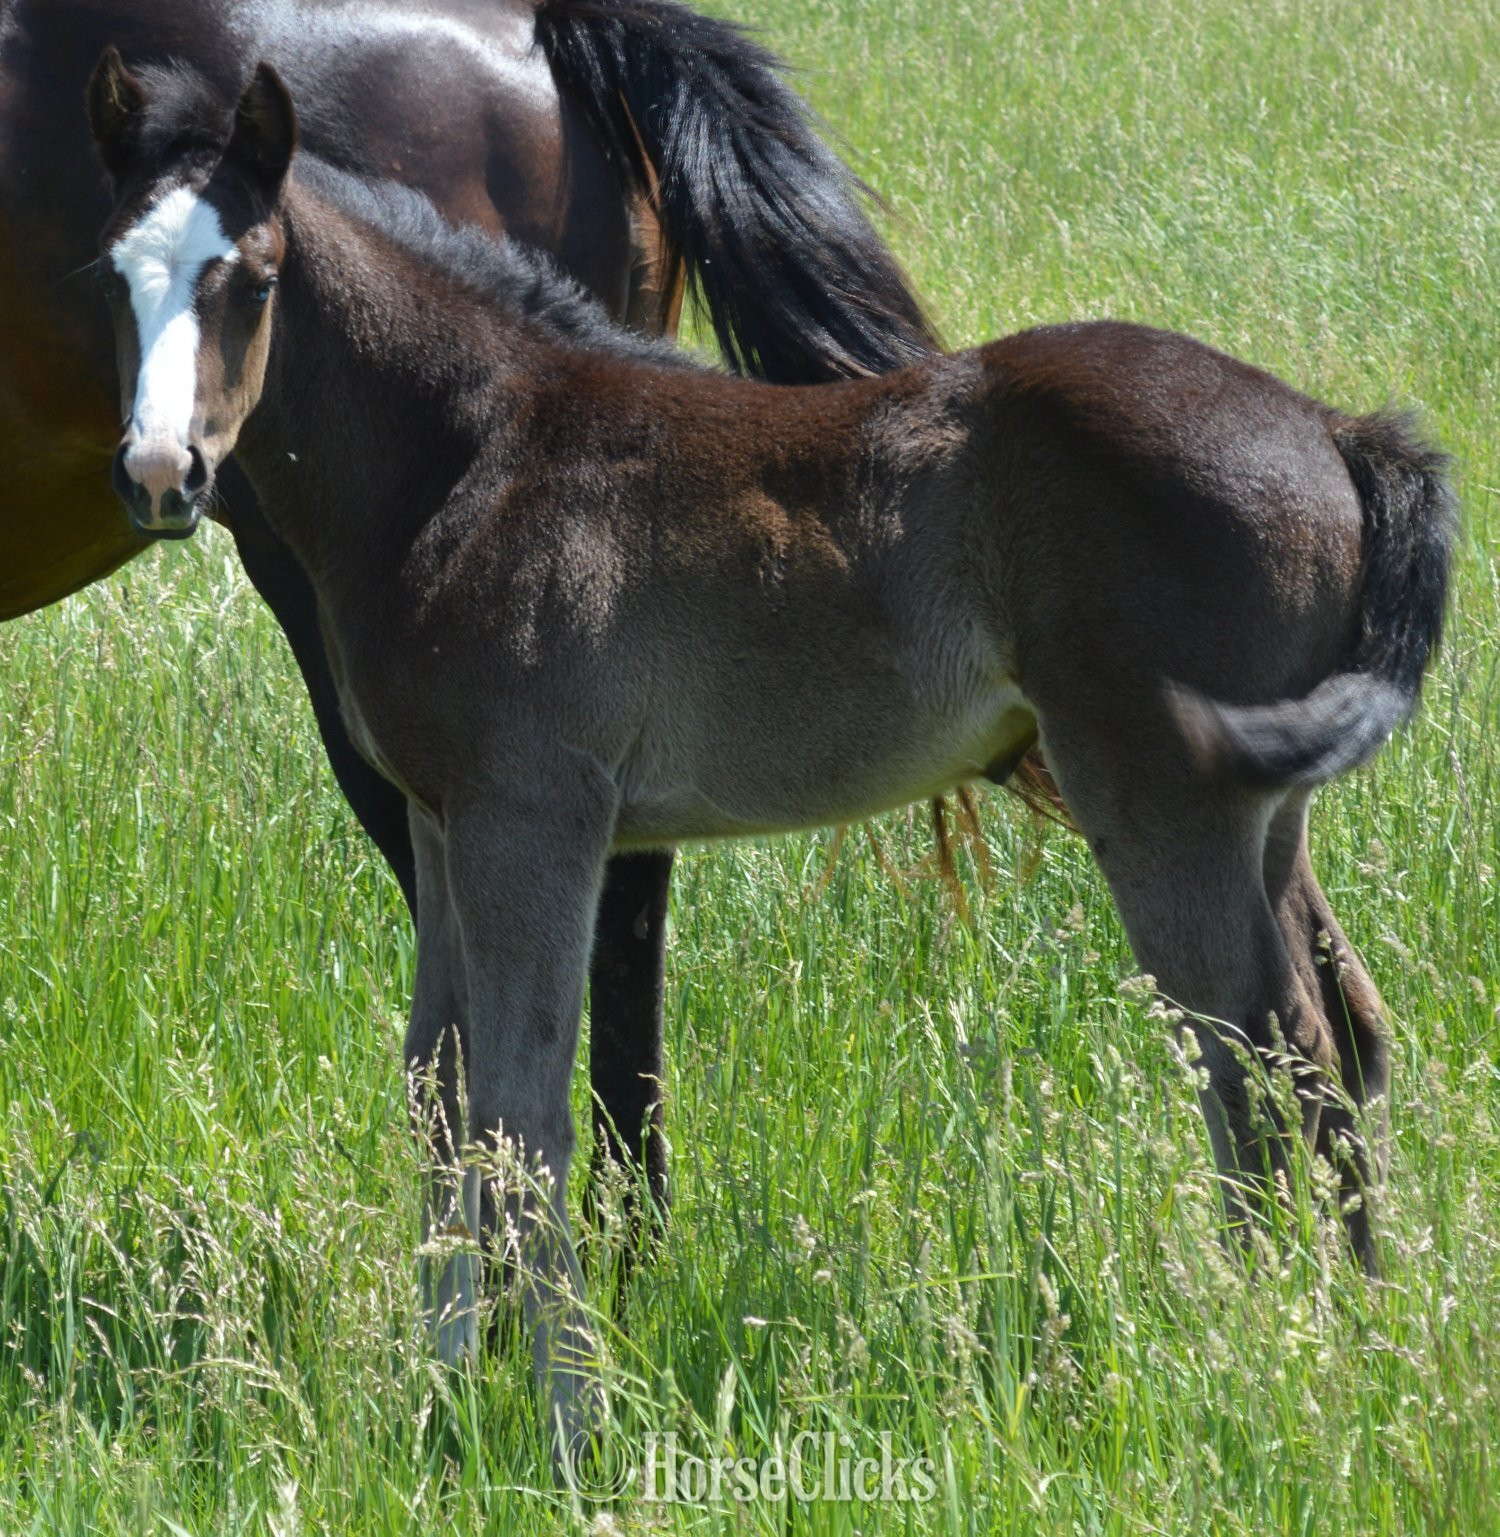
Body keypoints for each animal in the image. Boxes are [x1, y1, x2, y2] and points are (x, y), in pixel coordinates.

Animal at [87, 55, 1454, 1452]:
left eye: (253, 277)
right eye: (109, 273)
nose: (162, 473)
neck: (472, 457)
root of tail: (1338, 429)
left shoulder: (535, 813)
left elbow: (524, 1112)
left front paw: (571, 1424)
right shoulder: (437, 811)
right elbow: (442, 1094)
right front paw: (440, 1395)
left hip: (1156, 791)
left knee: (1261, 1055)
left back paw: (1264, 1355)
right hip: (1264, 813)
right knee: (1333, 1044)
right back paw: (1356, 1337)